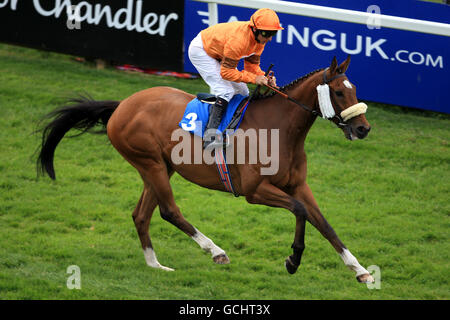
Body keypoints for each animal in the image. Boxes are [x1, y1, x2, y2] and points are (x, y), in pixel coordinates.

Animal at [37, 57, 372, 282]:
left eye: (354, 89)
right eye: (339, 93)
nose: (363, 128)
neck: (278, 130)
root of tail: (122, 105)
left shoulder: (298, 185)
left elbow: (324, 224)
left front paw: (360, 270)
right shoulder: (254, 191)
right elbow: (301, 211)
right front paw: (293, 259)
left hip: (161, 167)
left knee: (141, 214)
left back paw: (155, 264)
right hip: (150, 163)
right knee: (168, 211)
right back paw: (215, 251)